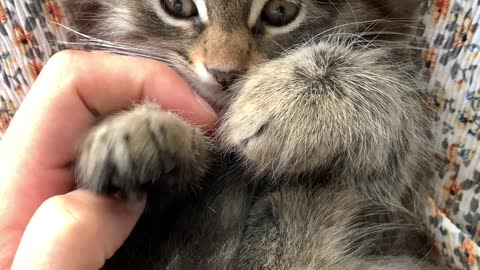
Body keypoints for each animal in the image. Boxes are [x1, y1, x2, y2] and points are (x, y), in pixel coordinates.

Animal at [58, 0, 444, 268]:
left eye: (280, 10)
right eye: (177, 6)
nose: (224, 73)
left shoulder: (391, 208)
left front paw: (286, 99)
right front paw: (141, 132)